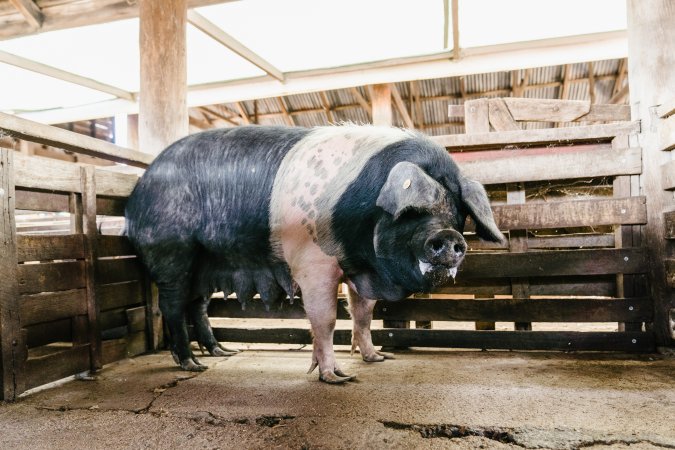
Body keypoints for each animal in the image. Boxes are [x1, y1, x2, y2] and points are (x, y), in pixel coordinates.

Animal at [127, 125, 504, 384]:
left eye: (456, 214)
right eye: (413, 212)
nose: (449, 236)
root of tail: (137, 193)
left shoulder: (358, 268)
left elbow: (363, 316)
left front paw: (377, 359)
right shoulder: (314, 262)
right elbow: (326, 319)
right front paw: (338, 377)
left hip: (204, 264)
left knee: (198, 306)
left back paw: (221, 351)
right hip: (172, 251)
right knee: (172, 306)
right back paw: (192, 364)